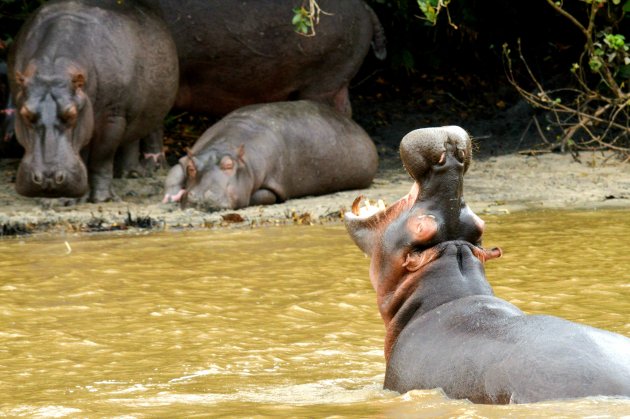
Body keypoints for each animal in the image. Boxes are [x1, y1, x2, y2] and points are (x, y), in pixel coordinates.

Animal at [8, 0, 179, 202]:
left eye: (72, 113)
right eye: (25, 113)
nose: (48, 178)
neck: (53, 70)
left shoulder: (113, 116)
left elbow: (101, 157)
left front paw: (101, 198)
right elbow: (83, 154)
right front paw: (61, 200)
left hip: (145, 112)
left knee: (145, 132)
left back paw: (139, 173)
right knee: (131, 139)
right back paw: (127, 174)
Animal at [164, 100, 380, 212]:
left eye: (229, 165)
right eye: (191, 167)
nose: (201, 198)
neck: (223, 147)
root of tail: (355, 124)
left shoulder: (273, 184)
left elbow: (263, 195)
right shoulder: (189, 156)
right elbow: (175, 170)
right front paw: (172, 195)